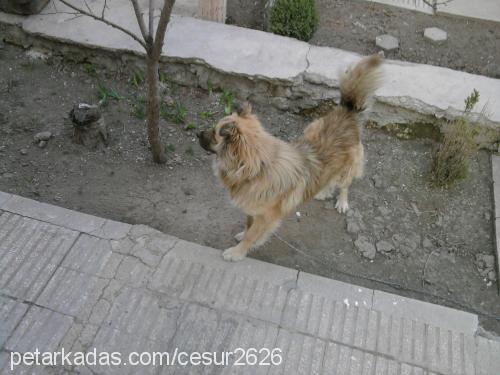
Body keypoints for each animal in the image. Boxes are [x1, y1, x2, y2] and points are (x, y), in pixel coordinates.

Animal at [196, 55, 382, 262]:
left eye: (214, 133)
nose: (197, 133)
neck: (258, 169)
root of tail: (347, 112)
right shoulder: (252, 211)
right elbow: (248, 227)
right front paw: (244, 237)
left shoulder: (266, 217)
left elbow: (252, 234)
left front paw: (237, 252)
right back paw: (322, 191)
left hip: (349, 167)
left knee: (344, 184)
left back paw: (342, 201)